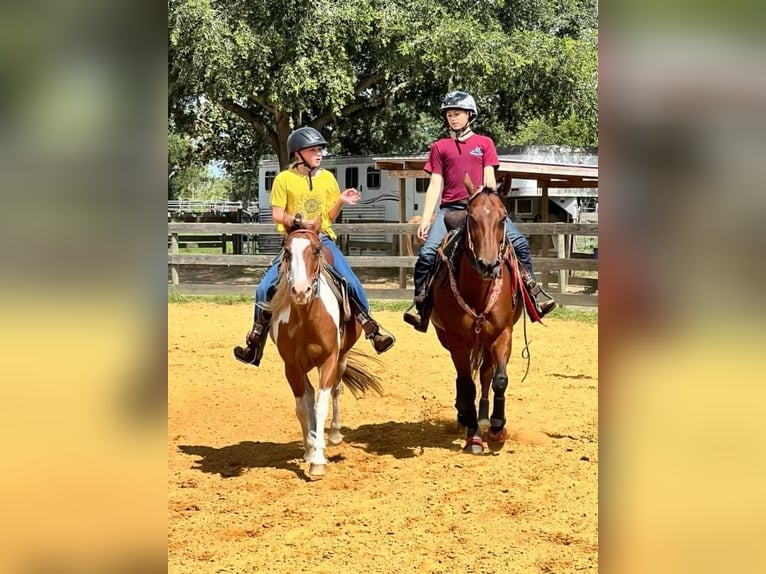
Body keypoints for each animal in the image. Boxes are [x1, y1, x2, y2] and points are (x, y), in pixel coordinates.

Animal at [260, 223, 384, 480]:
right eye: (287, 251)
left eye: (316, 251)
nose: (300, 291)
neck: (306, 320)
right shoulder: (291, 366)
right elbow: (302, 408)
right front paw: (310, 450)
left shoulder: (328, 361)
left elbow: (321, 406)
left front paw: (318, 461)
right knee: (308, 396)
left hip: (341, 358)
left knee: (336, 389)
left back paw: (334, 435)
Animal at [432, 178, 528, 456]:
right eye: (471, 218)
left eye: (503, 217)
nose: (488, 265)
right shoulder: (456, 340)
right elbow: (467, 384)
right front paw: (473, 436)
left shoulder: (503, 334)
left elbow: (499, 379)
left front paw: (497, 426)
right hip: (449, 339)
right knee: (462, 377)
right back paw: (465, 415)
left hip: (485, 341)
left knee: (486, 373)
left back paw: (484, 418)